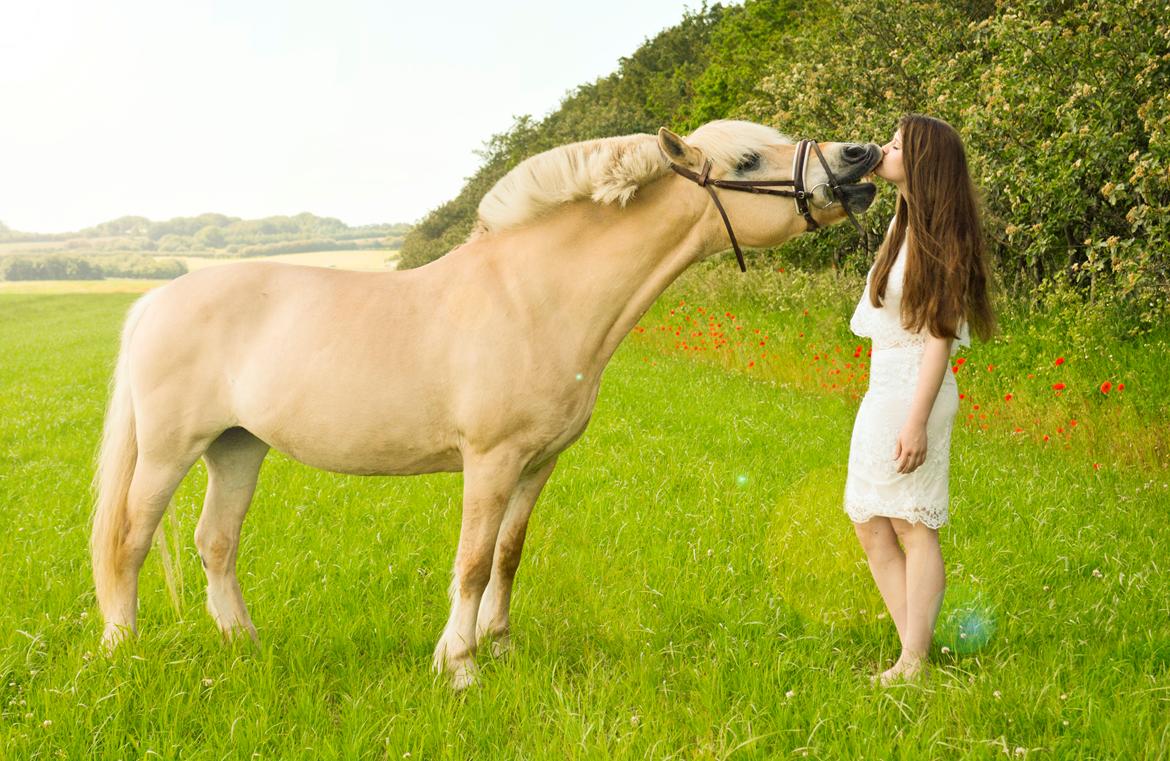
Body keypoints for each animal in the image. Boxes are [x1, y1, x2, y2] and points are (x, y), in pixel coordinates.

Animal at [93, 120, 879, 688]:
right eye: (747, 158)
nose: (859, 155)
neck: (536, 296)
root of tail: (154, 301)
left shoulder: (537, 463)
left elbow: (507, 553)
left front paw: (499, 648)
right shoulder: (490, 460)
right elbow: (471, 560)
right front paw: (460, 667)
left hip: (236, 446)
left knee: (215, 543)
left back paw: (246, 644)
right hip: (168, 450)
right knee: (130, 539)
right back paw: (122, 648)